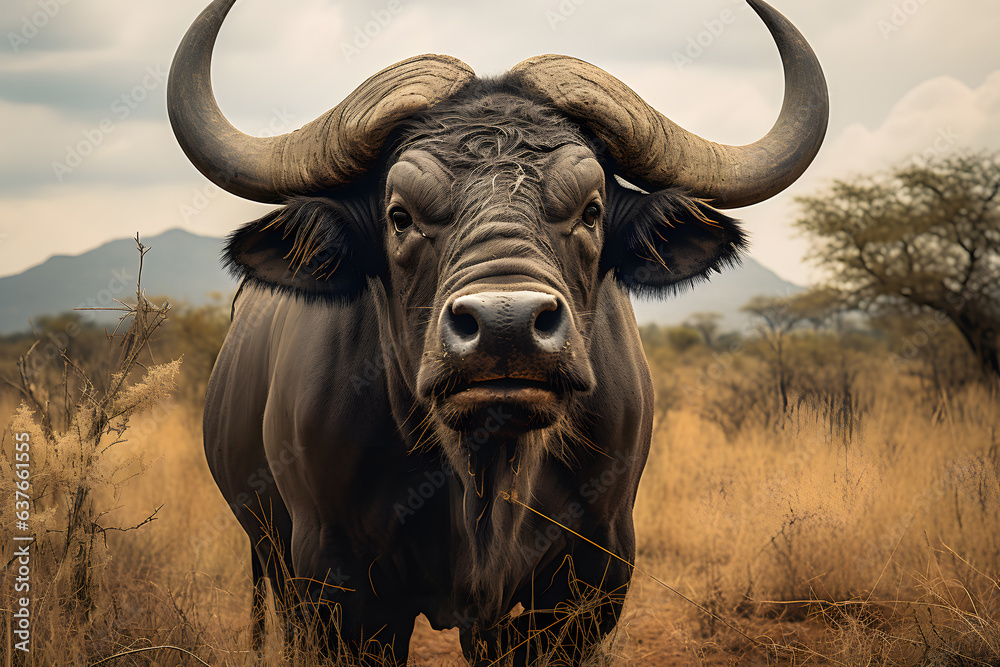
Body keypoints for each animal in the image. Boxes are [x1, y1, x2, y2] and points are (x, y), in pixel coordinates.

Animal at [168, 0, 827, 664]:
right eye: (399, 216)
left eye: (591, 210)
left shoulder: (592, 580)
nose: (504, 327)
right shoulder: (337, 586)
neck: (485, 475)